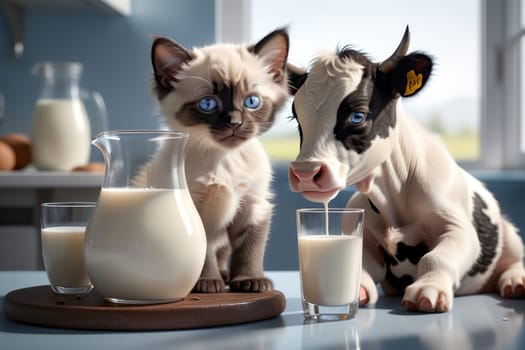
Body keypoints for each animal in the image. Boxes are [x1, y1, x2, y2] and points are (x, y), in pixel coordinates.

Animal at [150, 29, 290, 292]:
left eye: (252, 101)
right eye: (208, 104)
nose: (235, 122)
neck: (224, 159)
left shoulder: (253, 205)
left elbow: (249, 249)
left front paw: (248, 280)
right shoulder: (194, 207)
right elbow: (203, 251)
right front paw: (206, 282)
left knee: (223, 251)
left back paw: (226, 276)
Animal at [286, 26, 524, 312]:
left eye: (358, 116)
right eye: (296, 117)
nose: (305, 172)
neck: (393, 195)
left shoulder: (457, 226)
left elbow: (437, 257)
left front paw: (428, 289)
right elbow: (362, 267)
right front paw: (359, 291)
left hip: (510, 234)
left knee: (514, 259)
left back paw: (516, 280)